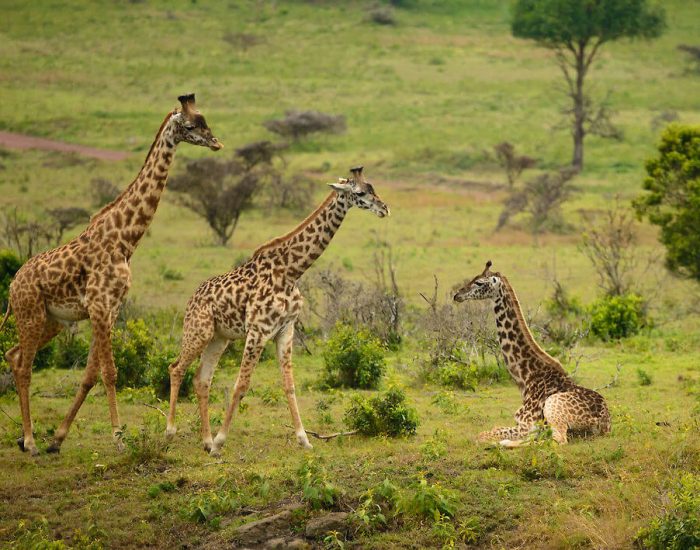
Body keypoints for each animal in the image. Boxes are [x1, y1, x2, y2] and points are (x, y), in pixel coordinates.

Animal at [1, 94, 223, 456]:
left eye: (206, 120)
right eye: (191, 125)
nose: (216, 142)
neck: (125, 239)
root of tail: (12, 285)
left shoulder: (109, 309)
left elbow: (90, 375)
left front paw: (58, 438)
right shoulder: (100, 306)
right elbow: (110, 372)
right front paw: (119, 438)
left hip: (51, 321)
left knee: (13, 354)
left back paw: (24, 437)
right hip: (30, 314)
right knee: (24, 365)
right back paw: (31, 441)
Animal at [166, 166, 389, 456]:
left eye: (373, 188)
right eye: (361, 193)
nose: (384, 208)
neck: (291, 271)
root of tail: (192, 298)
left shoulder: (286, 329)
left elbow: (289, 386)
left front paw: (304, 439)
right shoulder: (258, 331)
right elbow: (241, 385)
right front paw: (220, 442)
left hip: (219, 338)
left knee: (201, 380)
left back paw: (204, 441)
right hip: (198, 331)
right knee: (176, 368)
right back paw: (171, 432)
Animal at [453, 261, 610, 447]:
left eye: (478, 283)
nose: (457, 295)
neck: (526, 376)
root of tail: (604, 424)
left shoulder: (526, 423)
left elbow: (482, 435)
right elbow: (491, 430)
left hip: (552, 408)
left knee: (558, 440)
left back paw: (504, 443)